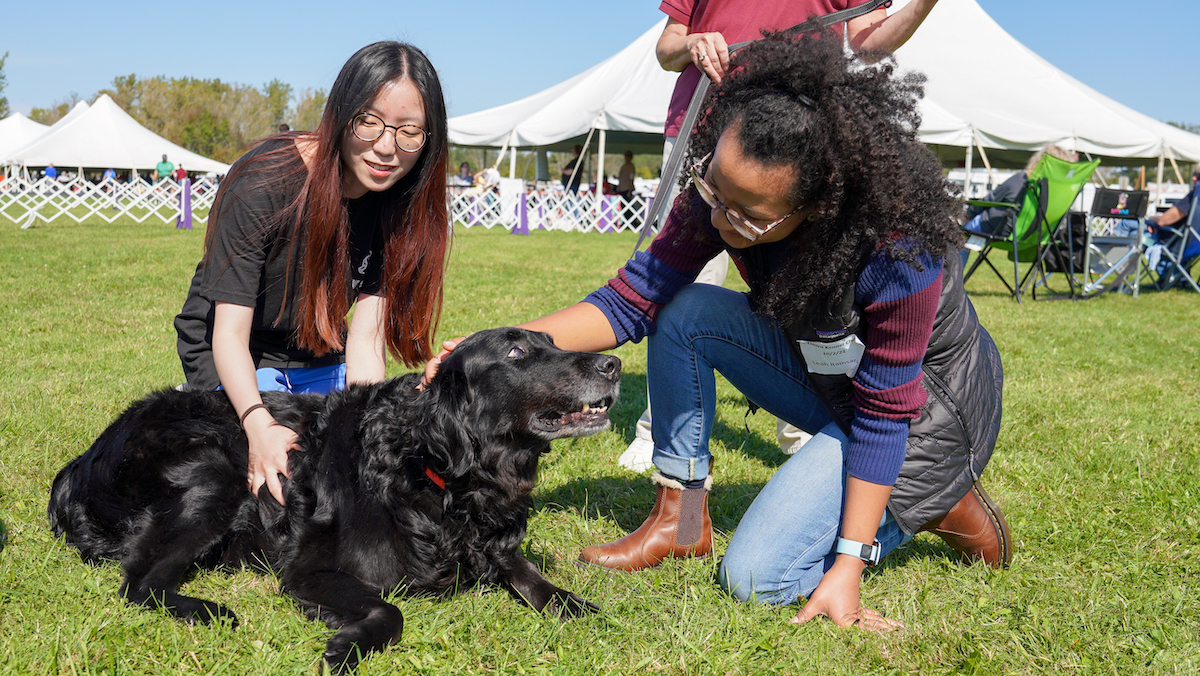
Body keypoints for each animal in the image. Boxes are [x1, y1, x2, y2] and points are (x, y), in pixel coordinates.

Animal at [46, 326, 619, 672]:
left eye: (552, 341)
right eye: (517, 352)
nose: (612, 365)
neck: (437, 474)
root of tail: (81, 462)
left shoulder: (497, 543)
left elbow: (536, 581)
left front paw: (580, 606)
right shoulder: (309, 571)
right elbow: (390, 610)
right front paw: (348, 648)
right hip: (215, 473)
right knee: (139, 583)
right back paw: (206, 609)